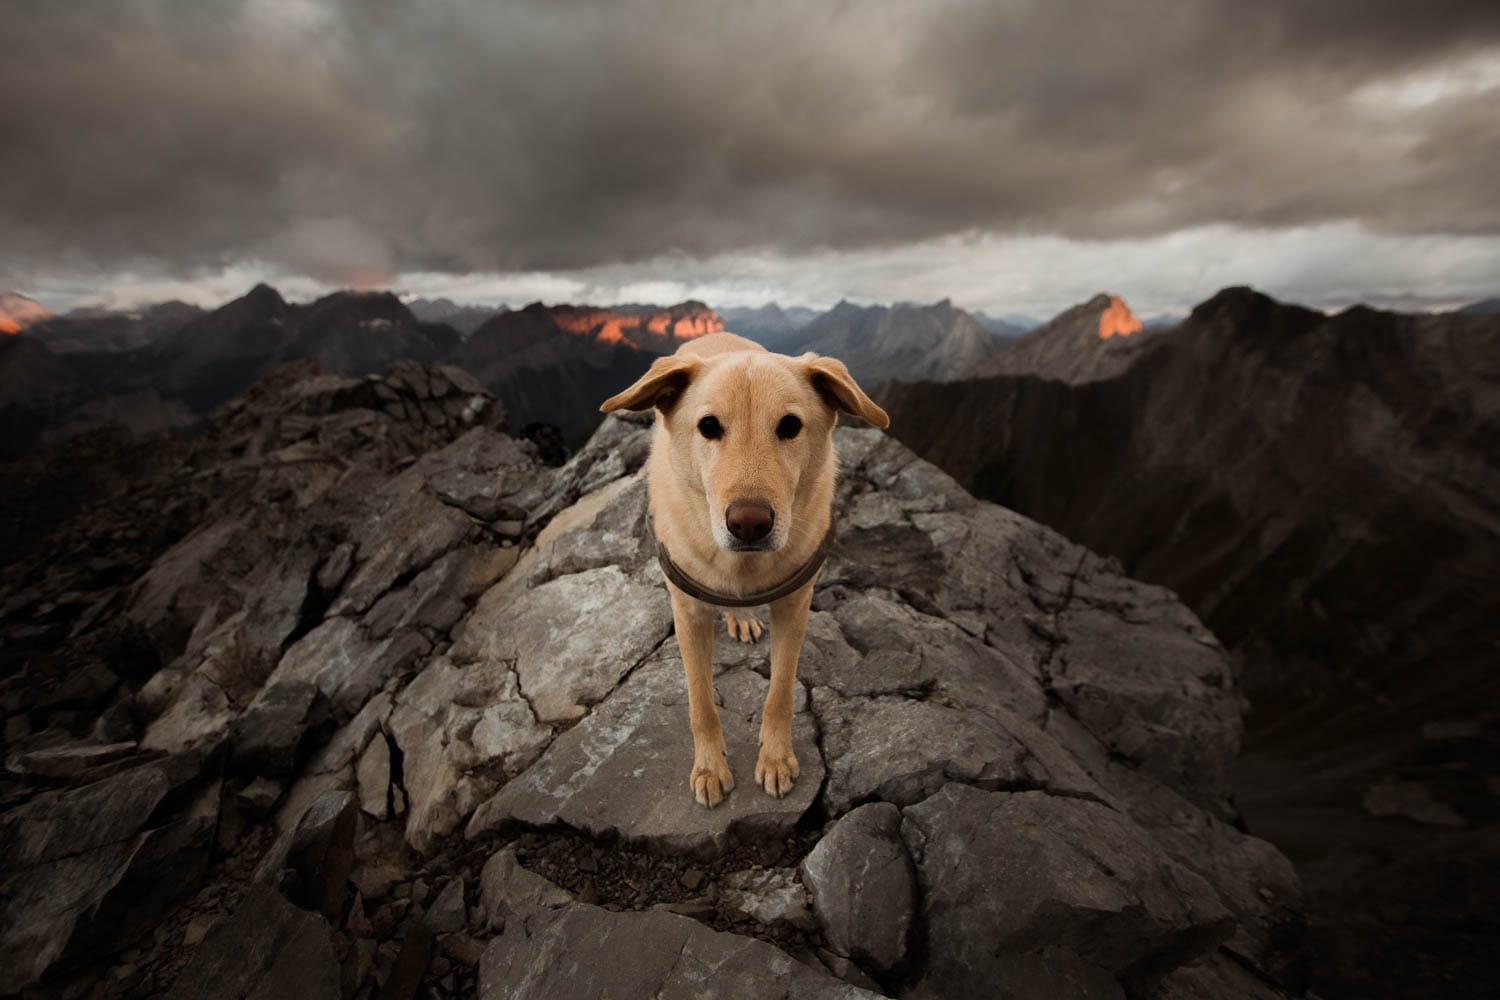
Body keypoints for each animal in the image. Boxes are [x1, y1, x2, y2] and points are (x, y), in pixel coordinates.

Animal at [603, 332, 888, 809]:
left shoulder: (795, 606)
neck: (743, 565)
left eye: (790, 425)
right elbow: (700, 702)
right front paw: (709, 767)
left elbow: (781, 691)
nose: (749, 523)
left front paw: (775, 758)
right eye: (708, 426)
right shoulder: (689, 614)